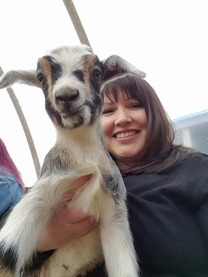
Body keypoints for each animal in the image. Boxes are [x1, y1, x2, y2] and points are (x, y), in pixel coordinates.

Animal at [0, 44, 145, 274]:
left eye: (97, 73)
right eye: (40, 77)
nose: (66, 96)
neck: (85, 159)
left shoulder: (115, 213)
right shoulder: (43, 192)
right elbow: (7, 254)